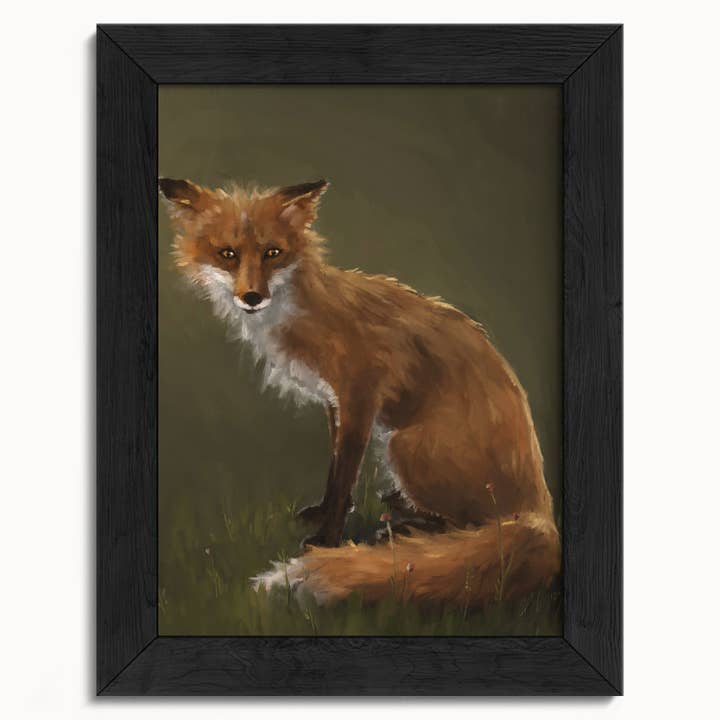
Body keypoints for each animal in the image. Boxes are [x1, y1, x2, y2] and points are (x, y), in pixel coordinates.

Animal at [159, 176, 560, 609]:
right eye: (228, 255)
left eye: (273, 253)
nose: (252, 297)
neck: (304, 311)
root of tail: (539, 508)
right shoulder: (334, 401)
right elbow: (335, 469)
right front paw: (322, 514)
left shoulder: (360, 395)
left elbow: (343, 477)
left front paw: (325, 540)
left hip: (403, 446)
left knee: (477, 527)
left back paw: (407, 528)